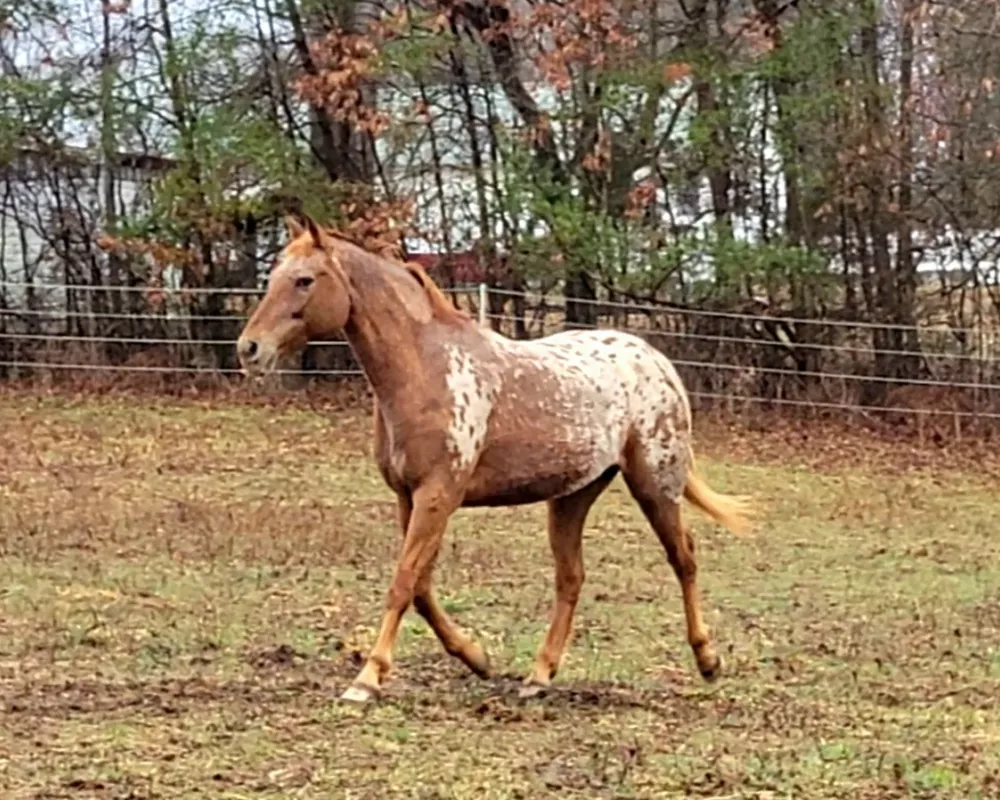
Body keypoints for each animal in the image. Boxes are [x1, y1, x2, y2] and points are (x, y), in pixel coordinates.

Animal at [234, 216, 752, 704]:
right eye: (274, 275)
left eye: (305, 279)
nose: (249, 349)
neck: (425, 370)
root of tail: (656, 361)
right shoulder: (409, 497)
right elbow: (421, 588)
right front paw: (478, 658)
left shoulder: (437, 496)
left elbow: (403, 583)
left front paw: (367, 679)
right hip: (573, 496)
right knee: (571, 578)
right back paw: (538, 677)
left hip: (654, 484)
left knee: (683, 558)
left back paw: (708, 660)